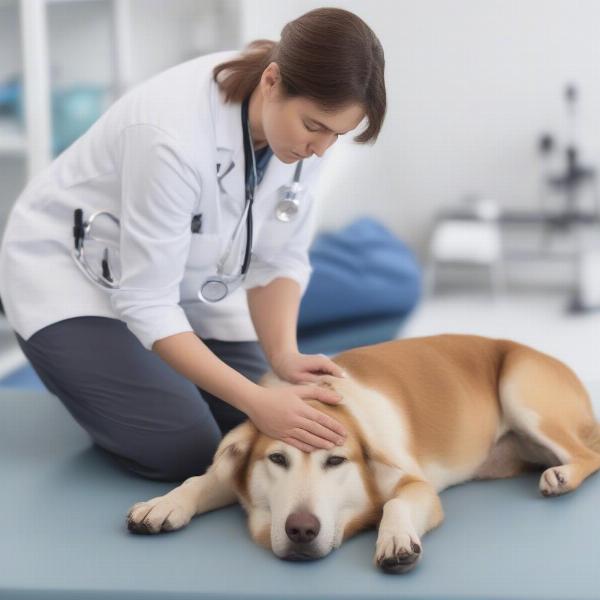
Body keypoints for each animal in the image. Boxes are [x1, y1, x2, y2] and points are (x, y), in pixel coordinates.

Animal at [126, 336, 600, 576]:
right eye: (277, 460)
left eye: (336, 462)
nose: (301, 530)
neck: (323, 405)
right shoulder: (237, 467)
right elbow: (202, 479)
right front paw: (162, 505)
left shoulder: (416, 487)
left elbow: (395, 503)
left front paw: (395, 538)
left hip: (520, 389)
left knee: (588, 452)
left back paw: (562, 476)